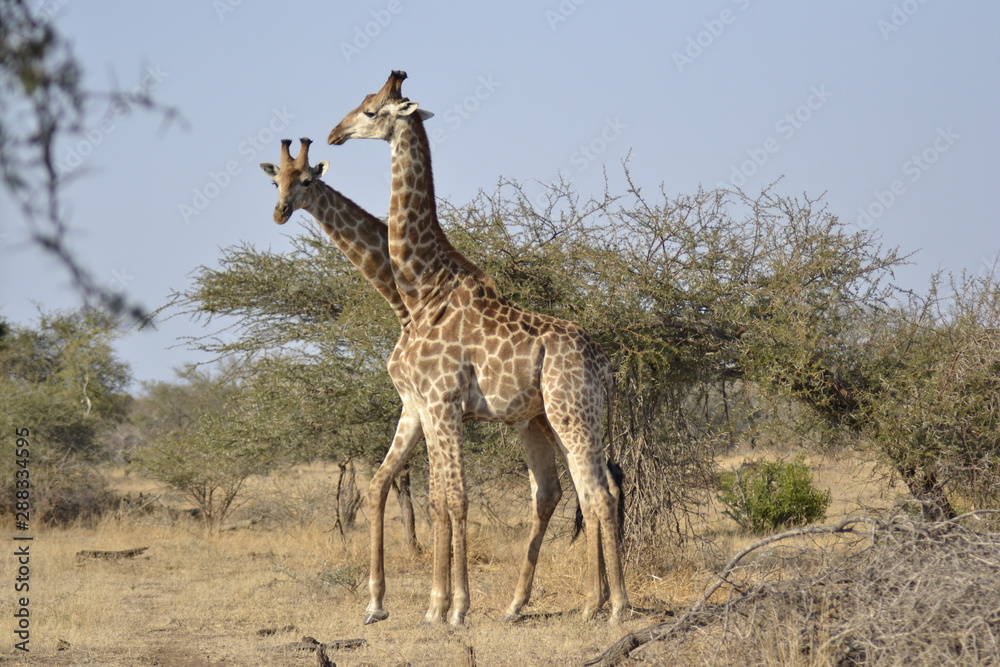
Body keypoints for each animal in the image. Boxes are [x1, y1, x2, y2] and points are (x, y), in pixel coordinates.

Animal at [328, 71, 629, 627]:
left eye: (372, 110)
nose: (334, 133)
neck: (424, 289)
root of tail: (605, 366)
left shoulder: (442, 402)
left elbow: (452, 498)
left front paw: (450, 609)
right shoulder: (427, 406)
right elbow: (440, 497)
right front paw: (441, 607)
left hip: (571, 412)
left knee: (597, 494)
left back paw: (616, 606)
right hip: (570, 417)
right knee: (589, 490)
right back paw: (582, 604)